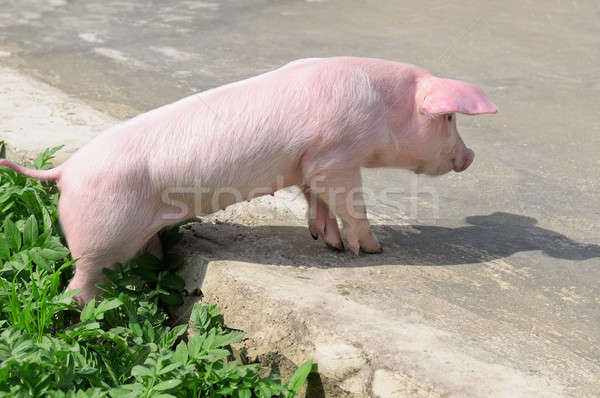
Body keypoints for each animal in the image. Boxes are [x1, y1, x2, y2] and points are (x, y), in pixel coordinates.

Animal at [0, 57, 496, 304]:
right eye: (448, 117)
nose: (470, 156)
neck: (381, 104)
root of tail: (64, 171)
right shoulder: (336, 155)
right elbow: (349, 202)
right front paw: (372, 250)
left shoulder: (310, 161)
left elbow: (316, 199)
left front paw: (327, 242)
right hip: (98, 232)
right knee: (82, 279)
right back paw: (84, 313)